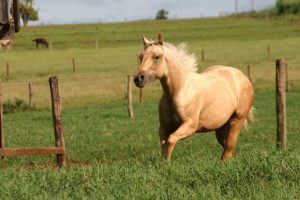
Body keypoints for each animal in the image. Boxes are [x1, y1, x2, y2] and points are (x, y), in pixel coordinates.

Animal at [135, 32, 254, 161]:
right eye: (141, 57)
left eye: (156, 57)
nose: (138, 79)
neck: (179, 91)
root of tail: (242, 76)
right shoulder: (164, 127)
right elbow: (164, 145)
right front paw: (164, 163)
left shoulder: (190, 125)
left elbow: (171, 140)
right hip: (221, 126)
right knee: (228, 149)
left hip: (236, 120)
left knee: (228, 147)